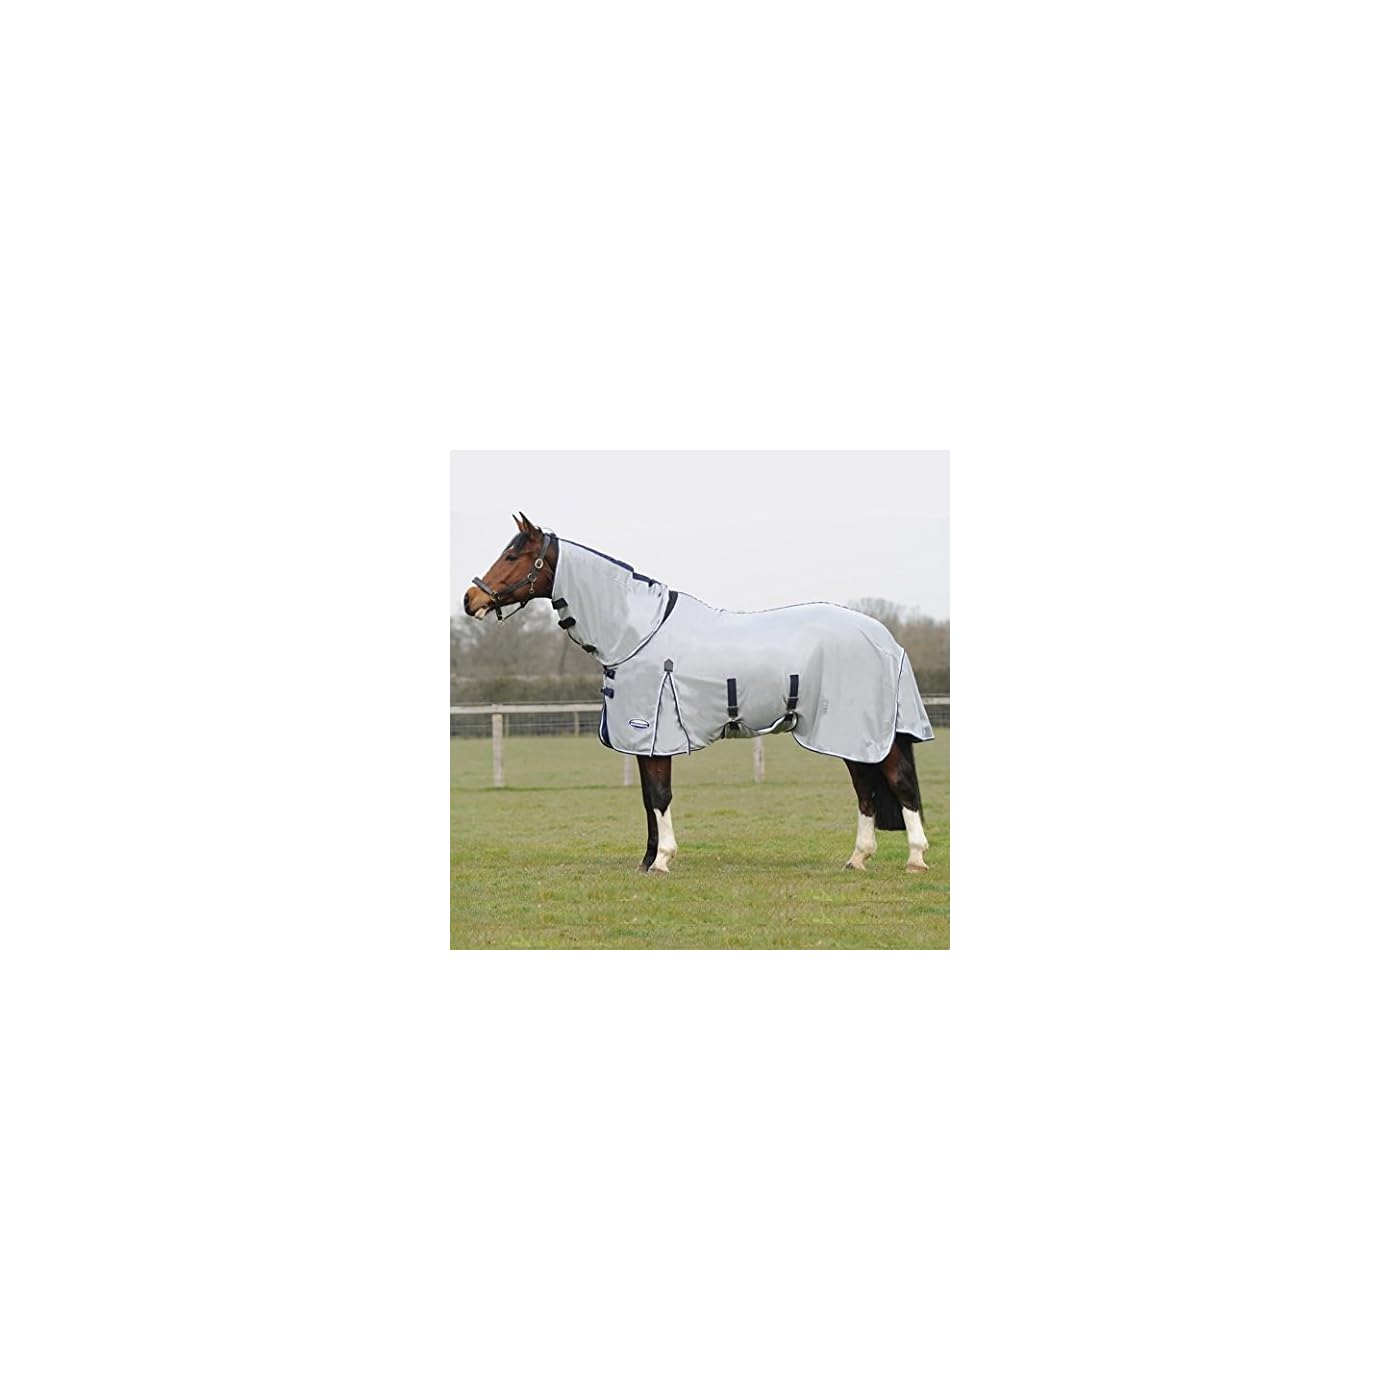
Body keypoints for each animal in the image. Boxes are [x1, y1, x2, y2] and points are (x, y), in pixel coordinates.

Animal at [464, 513, 935, 875]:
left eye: (512, 556)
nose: (470, 600)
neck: (637, 632)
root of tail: (886, 639)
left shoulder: (655, 736)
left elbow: (659, 797)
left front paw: (661, 861)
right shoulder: (645, 743)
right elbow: (647, 800)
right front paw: (647, 860)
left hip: (865, 733)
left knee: (901, 785)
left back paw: (915, 859)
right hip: (852, 738)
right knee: (866, 792)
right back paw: (857, 859)